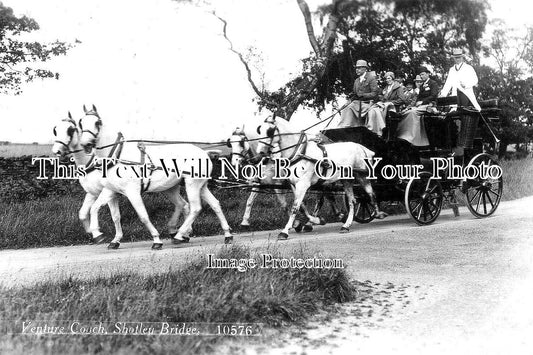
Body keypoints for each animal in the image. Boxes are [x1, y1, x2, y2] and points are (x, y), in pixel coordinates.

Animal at [76, 106, 233, 250]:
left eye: (97, 122)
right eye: (81, 122)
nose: (85, 143)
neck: (118, 156)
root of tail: (205, 153)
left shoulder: (132, 192)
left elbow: (143, 216)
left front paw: (157, 240)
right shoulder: (111, 190)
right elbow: (98, 210)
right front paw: (102, 236)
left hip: (192, 184)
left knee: (195, 208)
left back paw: (179, 235)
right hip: (200, 185)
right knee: (214, 204)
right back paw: (227, 235)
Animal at [256, 115, 384, 241]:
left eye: (270, 130)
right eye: (260, 130)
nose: (260, 152)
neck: (300, 152)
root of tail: (361, 147)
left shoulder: (303, 185)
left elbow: (295, 208)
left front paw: (285, 232)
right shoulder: (294, 185)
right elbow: (301, 206)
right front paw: (315, 220)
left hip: (362, 175)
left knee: (371, 194)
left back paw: (378, 213)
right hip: (346, 180)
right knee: (352, 201)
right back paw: (346, 225)